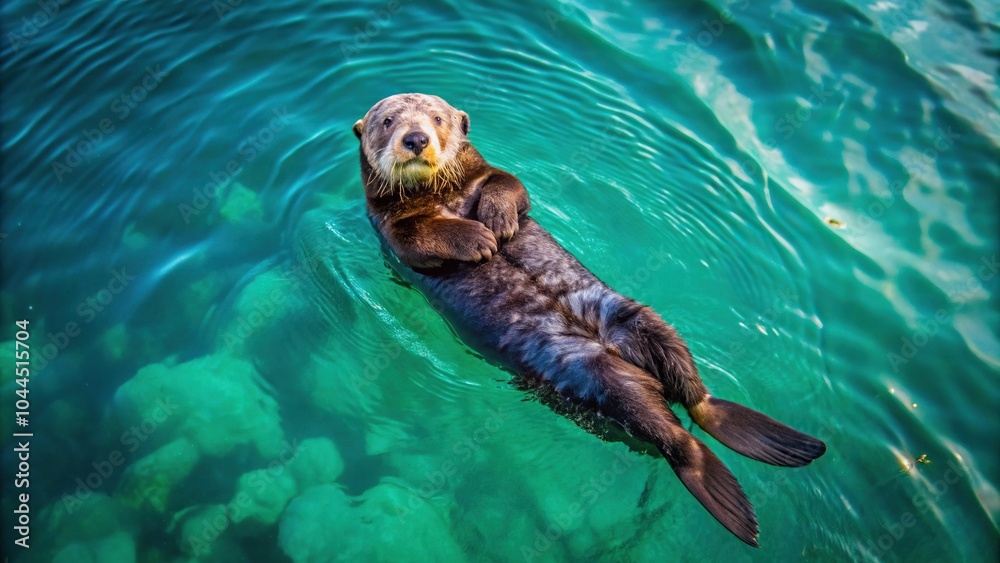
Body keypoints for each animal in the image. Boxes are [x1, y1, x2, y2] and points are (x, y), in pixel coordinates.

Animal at [353, 93, 826, 546]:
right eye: (388, 122)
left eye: (436, 119)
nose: (416, 139)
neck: (441, 196)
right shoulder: (390, 228)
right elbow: (419, 238)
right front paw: (479, 239)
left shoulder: (487, 175)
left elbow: (512, 186)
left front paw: (496, 220)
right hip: (593, 372)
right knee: (671, 425)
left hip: (633, 318)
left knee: (691, 399)